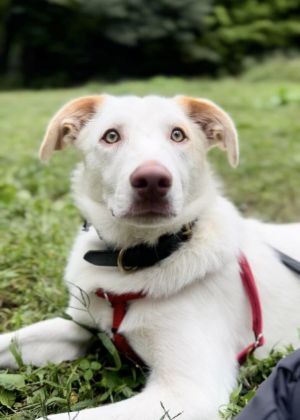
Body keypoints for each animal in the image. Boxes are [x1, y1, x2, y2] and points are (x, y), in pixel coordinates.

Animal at [0, 93, 300, 418]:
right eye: (111, 136)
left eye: (178, 135)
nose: (153, 180)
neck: (134, 260)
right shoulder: (78, 326)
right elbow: (13, 340)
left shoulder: (187, 393)